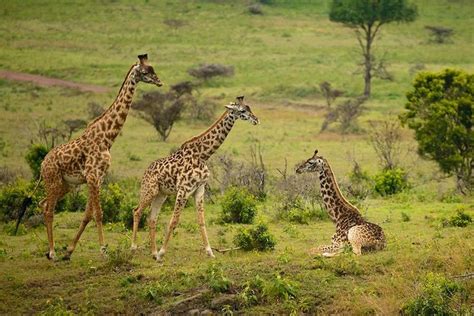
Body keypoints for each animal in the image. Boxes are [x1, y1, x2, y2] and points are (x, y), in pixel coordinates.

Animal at [38, 54, 163, 260]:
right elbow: (98, 214)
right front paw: (103, 250)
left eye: (153, 69)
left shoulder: (98, 177)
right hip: (53, 181)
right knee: (49, 210)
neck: (107, 138)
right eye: (146, 71)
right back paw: (52, 252)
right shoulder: (93, 176)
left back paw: (51, 251)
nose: (159, 81)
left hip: (65, 185)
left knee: (44, 203)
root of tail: (42, 164)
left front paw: (70, 250)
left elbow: (87, 215)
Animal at [131, 96, 262, 262]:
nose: (256, 120)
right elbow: (174, 221)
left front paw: (210, 252)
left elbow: (201, 221)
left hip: (161, 194)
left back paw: (153, 253)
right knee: (137, 211)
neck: (203, 155)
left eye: (249, 108)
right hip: (150, 190)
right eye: (243, 110)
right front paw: (162, 253)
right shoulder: (183, 190)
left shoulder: (199, 189)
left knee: (152, 218)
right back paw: (134, 248)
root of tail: (145, 171)